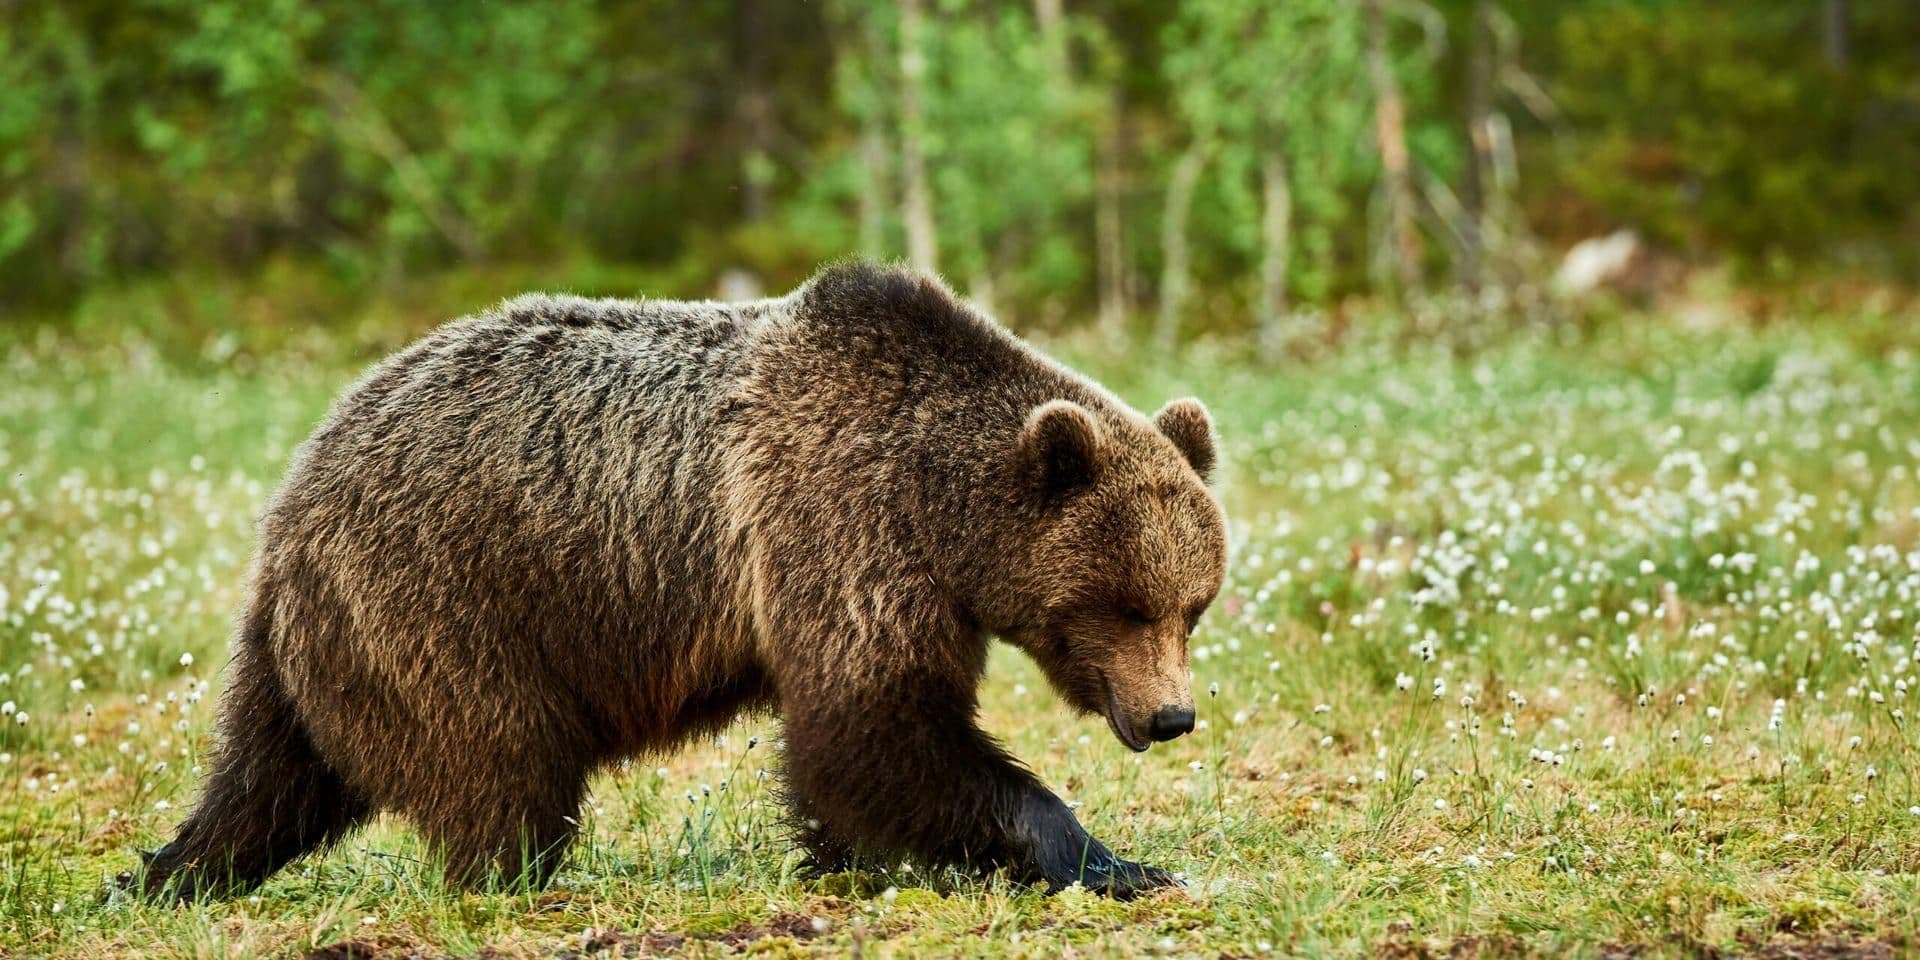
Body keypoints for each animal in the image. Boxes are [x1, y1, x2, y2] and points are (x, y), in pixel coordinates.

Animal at [138, 261, 1228, 901]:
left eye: (1194, 605)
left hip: (321, 642)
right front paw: (1117, 861)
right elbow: (872, 728)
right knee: (502, 762)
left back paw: (172, 870)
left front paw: (855, 861)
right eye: (1125, 604)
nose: (1172, 716)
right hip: (450, 598)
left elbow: (853, 756)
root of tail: (297, 490)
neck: (936, 505)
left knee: (271, 773)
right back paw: (521, 881)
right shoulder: (837, 529)